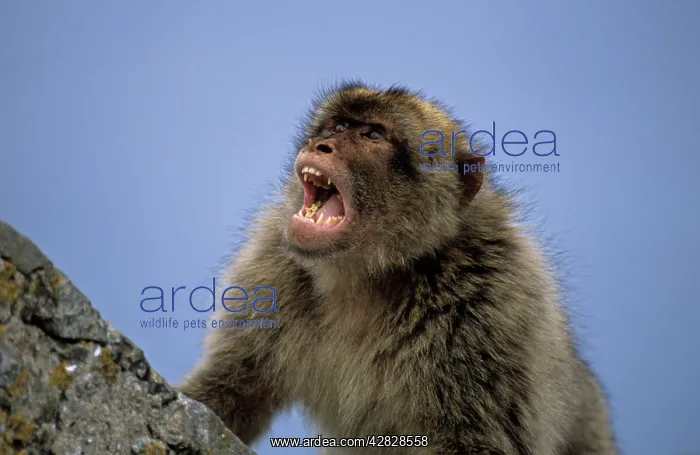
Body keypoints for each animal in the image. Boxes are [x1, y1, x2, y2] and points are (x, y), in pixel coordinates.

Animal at [178, 81, 619, 455]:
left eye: (373, 135)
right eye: (339, 125)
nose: (322, 145)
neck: (367, 275)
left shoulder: (493, 307)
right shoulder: (270, 268)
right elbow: (231, 390)